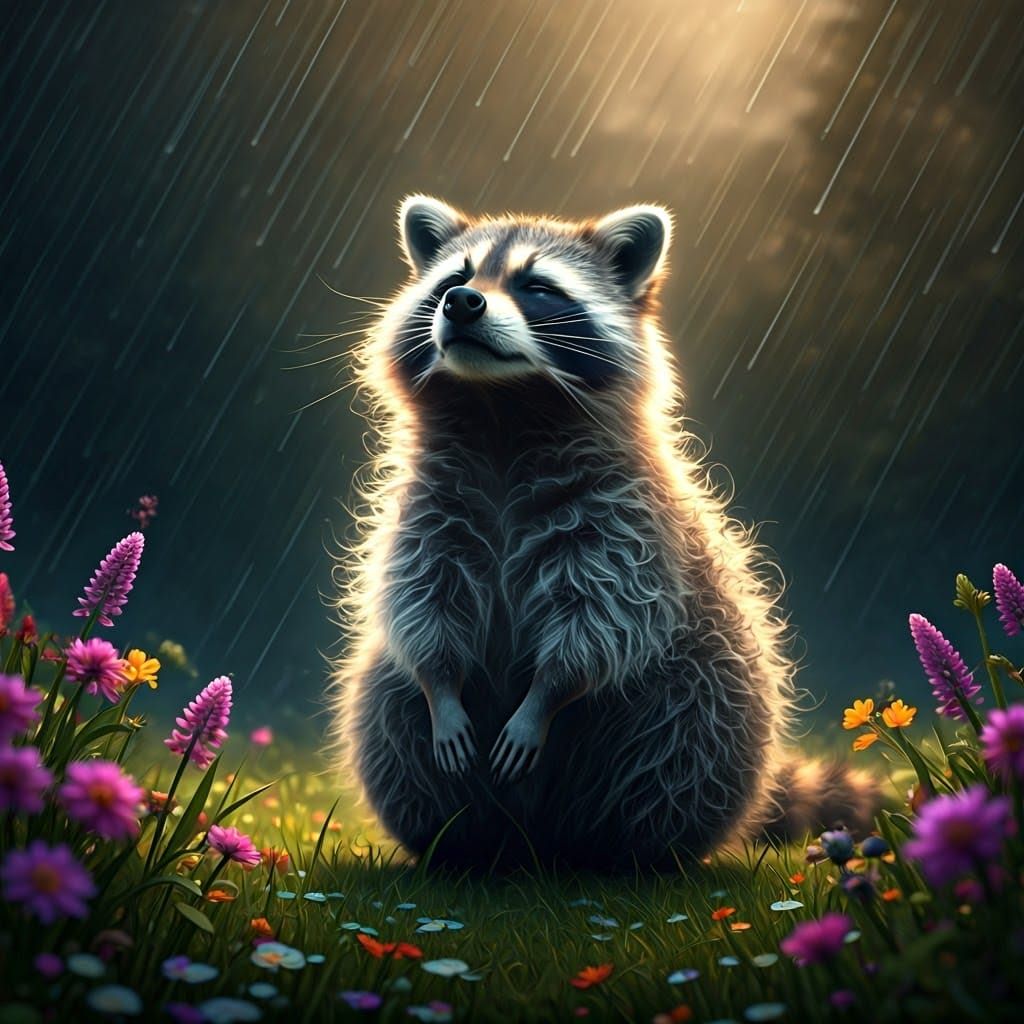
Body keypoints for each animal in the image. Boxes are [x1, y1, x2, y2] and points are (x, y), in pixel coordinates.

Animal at [329, 196, 877, 873]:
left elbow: (601, 622)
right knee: (387, 712)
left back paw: (631, 852)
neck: (502, 412)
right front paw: (441, 687)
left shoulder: (623, 518)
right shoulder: (430, 509)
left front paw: (544, 696)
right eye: (454, 279)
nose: (462, 303)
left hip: (711, 694)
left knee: (681, 738)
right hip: (399, 724)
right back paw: (461, 847)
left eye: (537, 287)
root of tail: (540, 845)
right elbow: (421, 604)